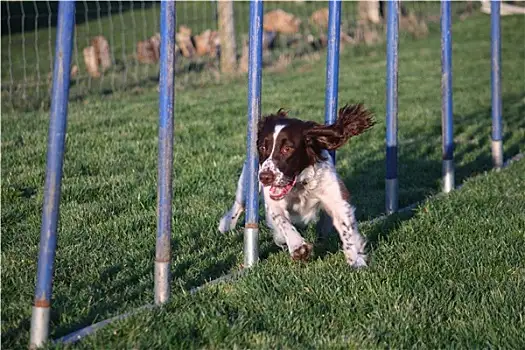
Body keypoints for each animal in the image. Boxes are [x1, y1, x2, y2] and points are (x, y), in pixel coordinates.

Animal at [219, 104, 374, 268]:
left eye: (287, 149)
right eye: (262, 147)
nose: (265, 177)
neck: (301, 184)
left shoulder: (335, 197)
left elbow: (346, 227)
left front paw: (356, 259)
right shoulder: (273, 202)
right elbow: (282, 221)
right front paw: (298, 247)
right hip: (247, 179)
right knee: (240, 204)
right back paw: (226, 224)